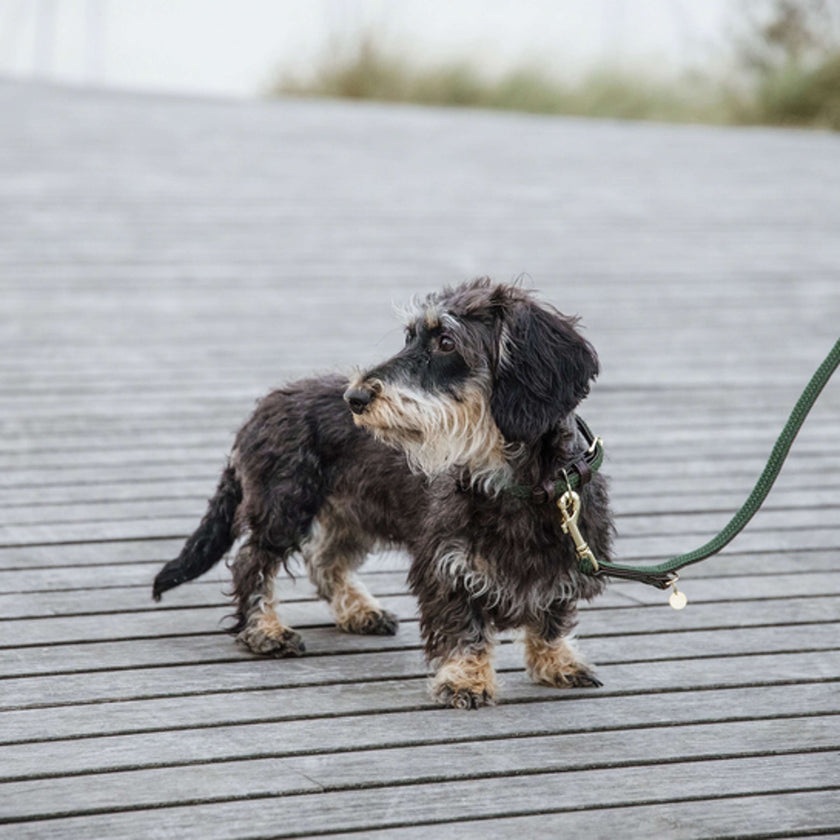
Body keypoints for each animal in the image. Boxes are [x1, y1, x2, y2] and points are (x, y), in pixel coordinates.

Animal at [153, 282, 612, 708]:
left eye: (446, 342)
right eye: (409, 338)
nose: (354, 397)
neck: (513, 483)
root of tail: (259, 411)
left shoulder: (566, 558)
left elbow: (551, 618)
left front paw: (557, 662)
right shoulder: (445, 565)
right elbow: (463, 626)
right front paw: (465, 679)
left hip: (350, 513)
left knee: (324, 560)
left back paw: (359, 611)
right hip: (284, 507)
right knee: (252, 564)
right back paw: (265, 631)